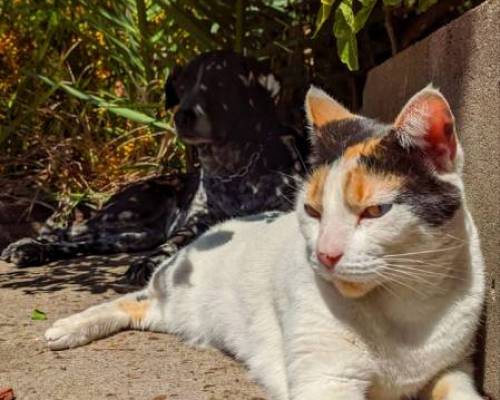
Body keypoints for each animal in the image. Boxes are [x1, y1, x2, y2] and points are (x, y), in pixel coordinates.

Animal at [1, 50, 308, 284]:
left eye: (220, 83)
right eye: (182, 86)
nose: (182, 115)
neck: (232, 169)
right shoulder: (197, 224)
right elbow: (171, 246)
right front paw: (149, 264)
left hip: (134, 235)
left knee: (82, 243)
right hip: (127, 214)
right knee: (68, 231)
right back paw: (25, 246)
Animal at [46, 86, 484, 398]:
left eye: (375, 211)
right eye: (312, 211)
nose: (325, 254)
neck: (401, 307)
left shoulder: (453, 369)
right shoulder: (325, 379)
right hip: (174, 286)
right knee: (129, 298)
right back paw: (65, 329)